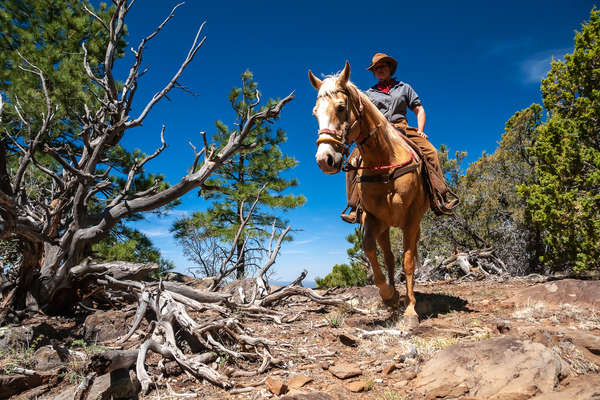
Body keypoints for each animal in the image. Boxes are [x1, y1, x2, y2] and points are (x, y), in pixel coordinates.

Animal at [308, 61, 428, 328]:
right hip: (385, 227)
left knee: (406, 257)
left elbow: (409, 261)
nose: (324, 160)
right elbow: (370, 250)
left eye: (341, 107)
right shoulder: (372, 218)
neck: (385, 163)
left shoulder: (412, 220)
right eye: (315, 113)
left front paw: (411, 310)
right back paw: (394, 299)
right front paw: (388, 296)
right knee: (389, 256)